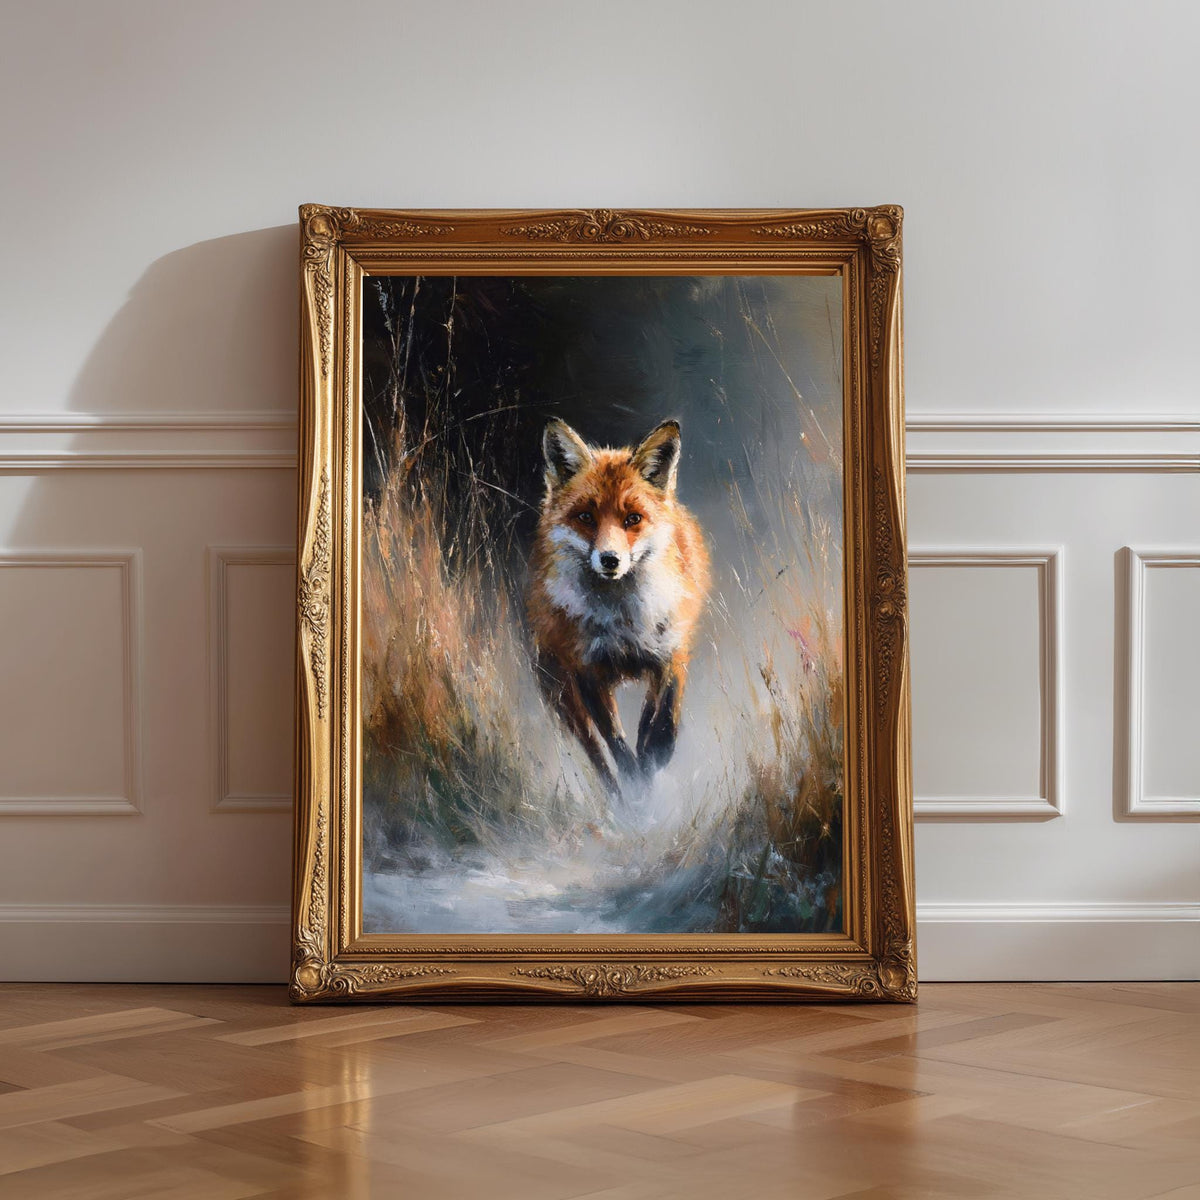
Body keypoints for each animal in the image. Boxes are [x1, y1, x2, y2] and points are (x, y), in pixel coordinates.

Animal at [527, 417, 711, 794]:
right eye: (586, 517)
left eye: (633, 519)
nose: (610, 559)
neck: (624, 622)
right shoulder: (587, 671)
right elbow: (615, 743)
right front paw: (635, 783)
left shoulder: (671, 652)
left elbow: (662, 720)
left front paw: (655, 756)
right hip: (563, 697)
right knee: (597, 756)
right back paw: (618, 798)